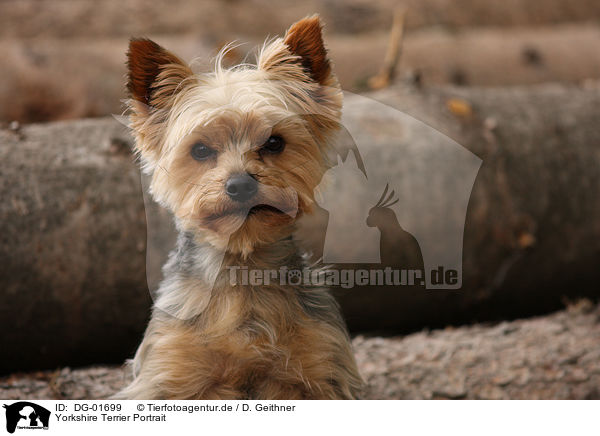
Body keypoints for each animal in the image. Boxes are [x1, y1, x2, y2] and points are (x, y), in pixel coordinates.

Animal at [115, 16, 364, 398]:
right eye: (200, 150)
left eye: (274, 142)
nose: (240, 185)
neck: (243, 269)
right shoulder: (167, 373)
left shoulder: (322, 369)